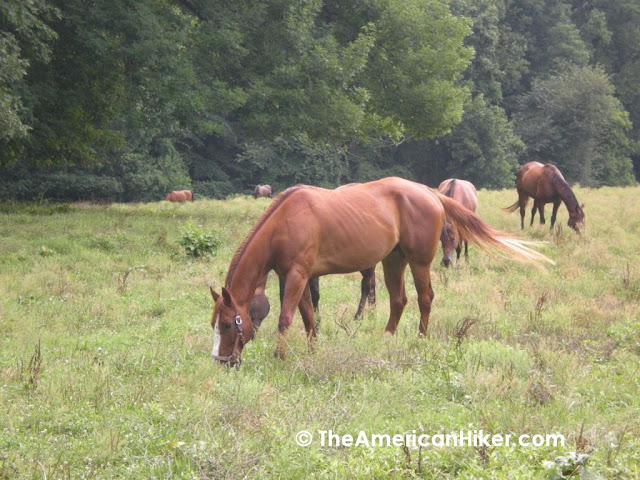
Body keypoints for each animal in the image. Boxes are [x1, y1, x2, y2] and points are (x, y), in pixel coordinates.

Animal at [209, 176, 552, 364]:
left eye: (226, 324)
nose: (222, 361)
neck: (286, 220)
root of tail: (429, 193)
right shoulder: (297, 277)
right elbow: (307, 315)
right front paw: (312, 348)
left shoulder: (297, 275)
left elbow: (286, 317)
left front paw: (280, 356)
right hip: (392, 261)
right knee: (398, 300)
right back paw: (387, 337)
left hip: (419, 262)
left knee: (425, 298)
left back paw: (420, 338)